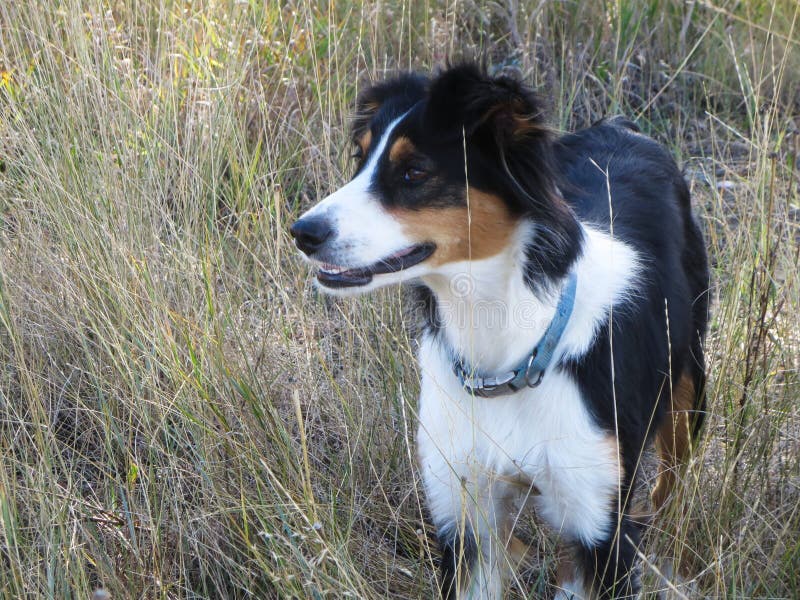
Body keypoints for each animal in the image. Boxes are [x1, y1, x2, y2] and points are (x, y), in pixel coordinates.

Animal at [290, 64, 708, 600]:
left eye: (414, 172)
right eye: (360, 160)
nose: (303, 232)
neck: (506, 350)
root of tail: (625, 127)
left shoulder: (599, 524)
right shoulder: (467, 517)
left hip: (687, 395)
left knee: (670, 489)